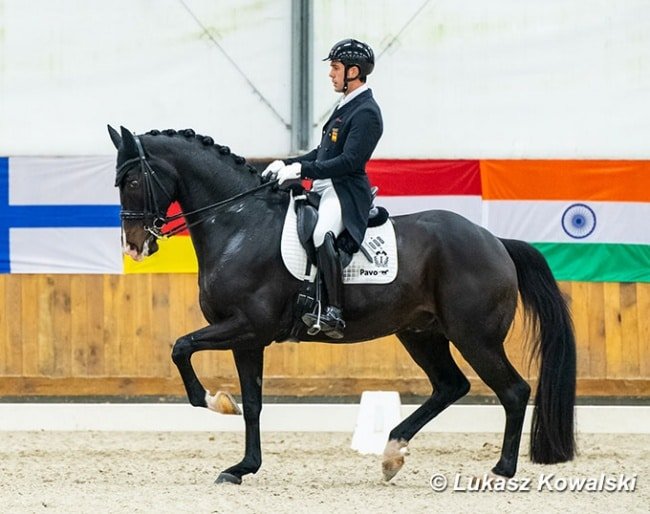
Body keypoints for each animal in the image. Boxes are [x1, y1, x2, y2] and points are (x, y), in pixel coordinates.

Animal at [107, 125, 576, 485]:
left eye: (132, 182)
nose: (134, 247)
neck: (239, 224)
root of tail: (496, 241)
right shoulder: (246, 338)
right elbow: (253, 403)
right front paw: (242, 467)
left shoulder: (247, 326)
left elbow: (181, 347)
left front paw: (214, 401)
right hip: (420, 333)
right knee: (450, 386)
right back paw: (392, 453)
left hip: (475, 337)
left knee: (513, 391)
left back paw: (501, 469)